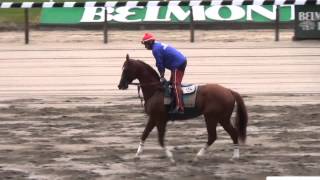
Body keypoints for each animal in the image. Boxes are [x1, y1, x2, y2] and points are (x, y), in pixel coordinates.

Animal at [117, 54, 248, 162]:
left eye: (126, 69)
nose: (120, 85)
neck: (155, 90)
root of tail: (229, 91)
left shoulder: (160, 119)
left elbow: (160, 139)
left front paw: (170, 157)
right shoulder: (153, 118)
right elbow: (144, 134)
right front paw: (137, 154)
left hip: (212, 117)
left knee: (214, 136)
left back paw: (200, 156)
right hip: (221, 118)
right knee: (232, 133)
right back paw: (234, 156)